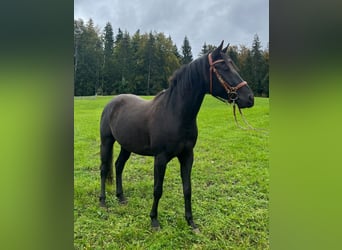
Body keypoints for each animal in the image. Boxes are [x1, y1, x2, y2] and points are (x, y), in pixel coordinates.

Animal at [99, 40, 254, 230]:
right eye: (223, 67)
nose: (250, 98)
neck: (175, 113)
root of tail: (112, 103)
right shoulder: (160, 158)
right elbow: (158, 189)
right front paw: (154, 220)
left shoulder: (187, 156)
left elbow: (187, 189)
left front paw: (191, 222)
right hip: (106, 142)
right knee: (104, 169)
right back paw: (103, 201)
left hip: (126, 146)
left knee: (119, 166)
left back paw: (121, 197)